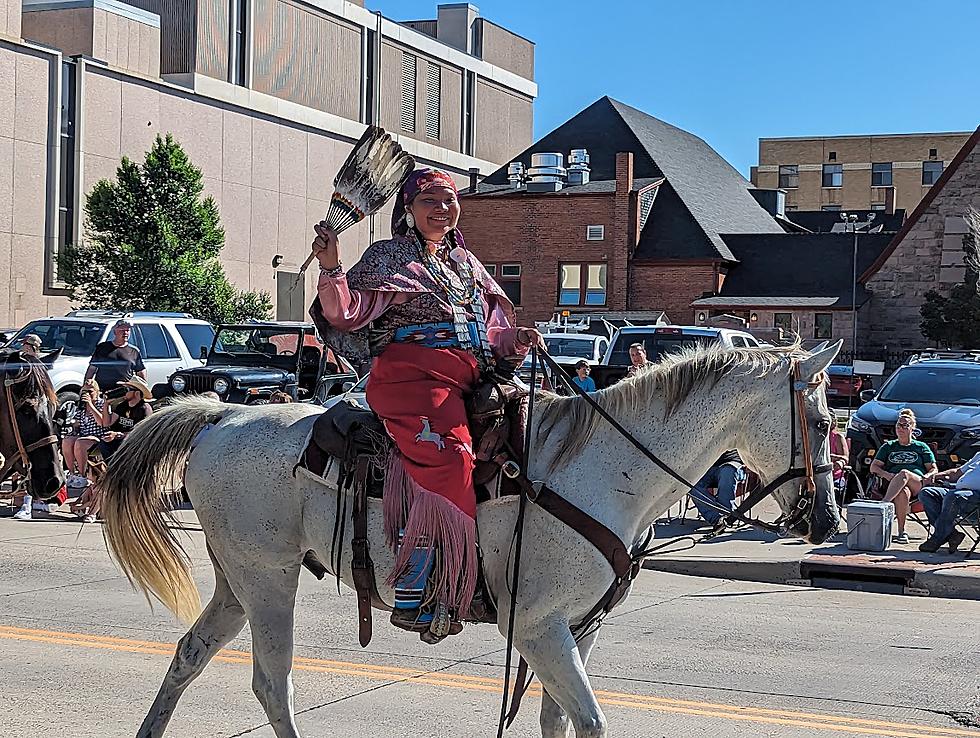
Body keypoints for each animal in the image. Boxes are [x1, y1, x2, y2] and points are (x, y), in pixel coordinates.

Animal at [99, 340, 844, 736]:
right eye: (819, 417)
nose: (826, 522)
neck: (605, 467)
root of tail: (220, 416)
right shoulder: (540, 627)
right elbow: (592, 721)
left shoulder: (580, 628)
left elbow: (558, 722)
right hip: (268, 581)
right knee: (270, 683)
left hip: (238, 581)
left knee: (189, 656)